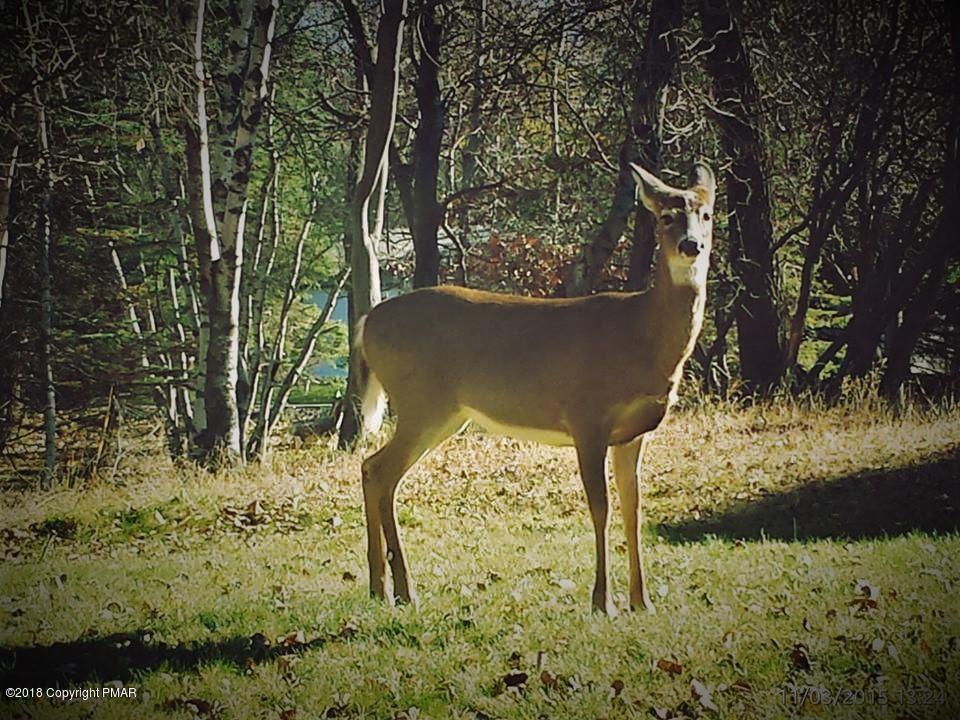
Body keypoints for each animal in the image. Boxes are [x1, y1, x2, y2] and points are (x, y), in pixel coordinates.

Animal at [355, 161, 715, 615]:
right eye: (666, 217)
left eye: (707, 214)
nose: (691, 245)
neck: (641, 335)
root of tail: (367, 322)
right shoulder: (587, 416)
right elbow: (601, 507)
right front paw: (603, 602)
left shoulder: (633, 433)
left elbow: (633, 508)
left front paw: (642, 602)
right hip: (422, 403)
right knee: (381, 472)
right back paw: (404, 589)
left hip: (441, 413)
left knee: (373, 469)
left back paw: (380, 588)